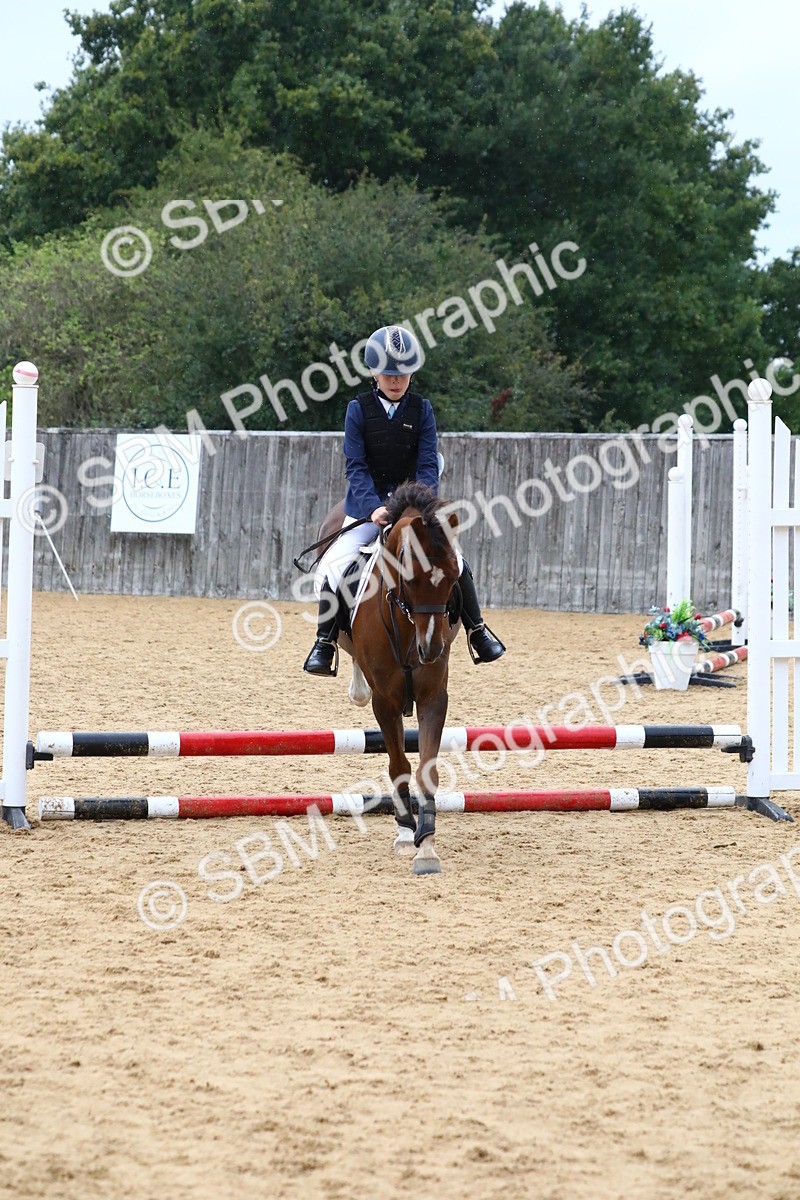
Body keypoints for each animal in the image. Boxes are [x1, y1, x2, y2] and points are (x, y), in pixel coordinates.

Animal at [315, 481, 461, 875]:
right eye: (411, 577)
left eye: (454, 577)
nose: (430, 648)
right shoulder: (386, 700)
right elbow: (399, 766)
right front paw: (405, 833)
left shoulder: (433, 696)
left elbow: (426, 769)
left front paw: (427, 845)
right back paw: (349, 682)